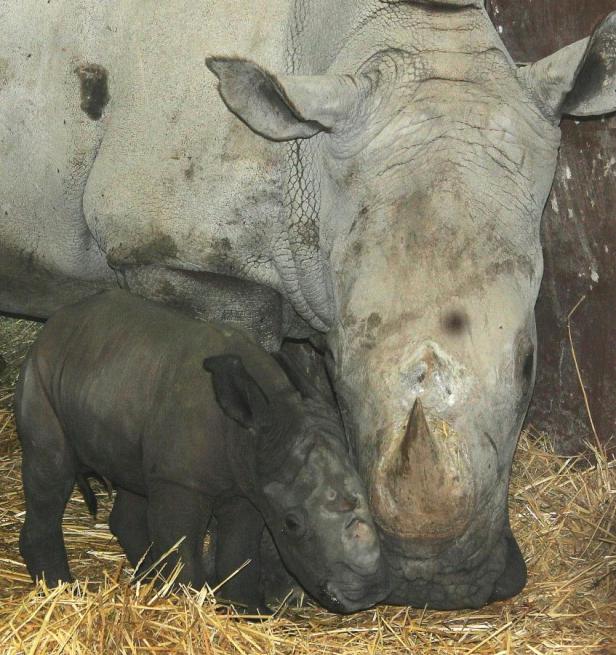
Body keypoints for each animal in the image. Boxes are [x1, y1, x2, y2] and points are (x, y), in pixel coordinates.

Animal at [14, 290, 388, 616]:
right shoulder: (181, 481)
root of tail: (53, 324)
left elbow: (239, 550)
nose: (365, 595)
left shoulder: (250, 484)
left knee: (131, 476)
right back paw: (62, 592)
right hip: (41, 374)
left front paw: (250, 613)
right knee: (51, 473)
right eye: (292, 524)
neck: (253, 429)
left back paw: (145, 582)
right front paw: (185, 605)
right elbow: (181, 545)